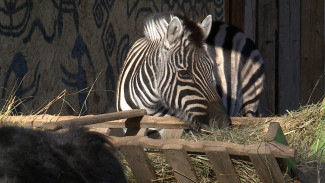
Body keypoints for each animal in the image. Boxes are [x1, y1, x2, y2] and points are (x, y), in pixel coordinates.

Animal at [116, 13, 264, 130]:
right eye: (184, 73)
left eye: (211, 70)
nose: (223, 123)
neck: (148, 106)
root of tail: (232, 28)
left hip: (250, 102)